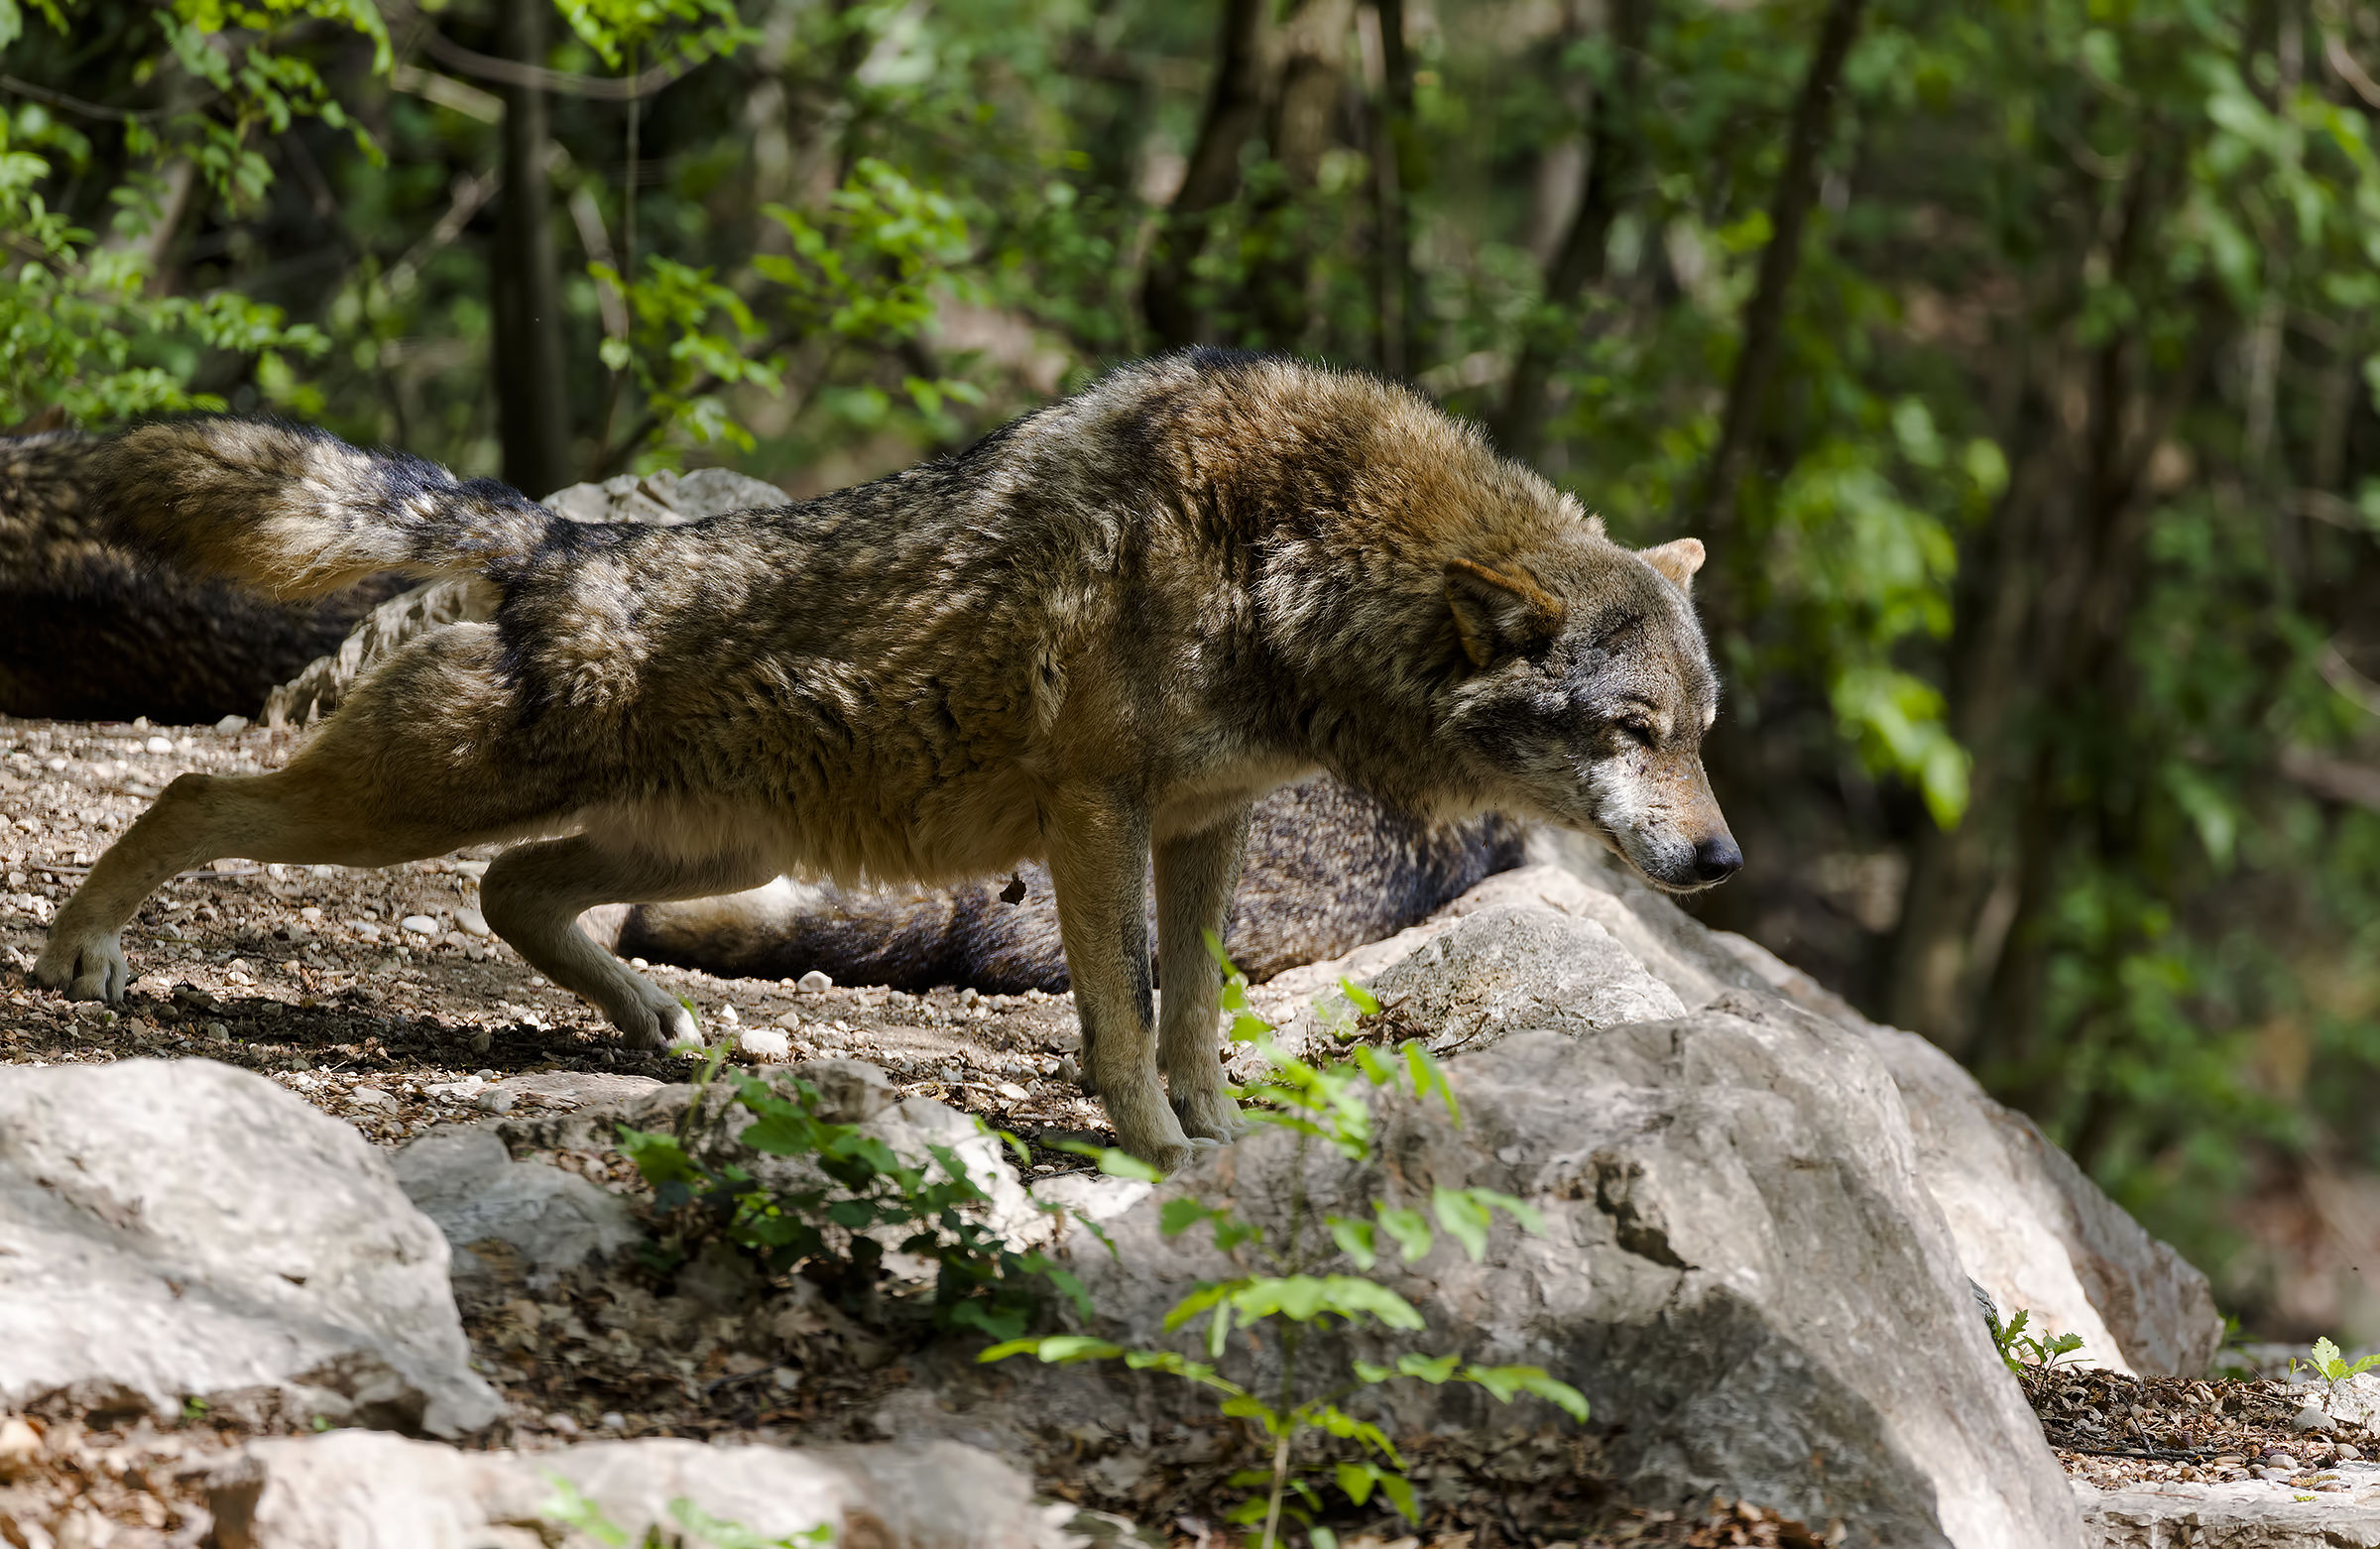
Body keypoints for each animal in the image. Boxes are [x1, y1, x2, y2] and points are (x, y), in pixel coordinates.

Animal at [34, 351, 1739, 1170]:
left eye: (1703, 731)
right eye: (1633, 730)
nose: (1722, 859)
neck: (1293, 565)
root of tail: (557, 541)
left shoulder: (1207, 830)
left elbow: (1198, 1014)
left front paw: (1225, 1141)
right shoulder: (1098, 817)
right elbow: (1127, 1015)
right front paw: (1155, 1150)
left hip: (704, 844)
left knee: (514, 895)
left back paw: (661, 1025)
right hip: (423, 800)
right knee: (193, 792)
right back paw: (82, 952)